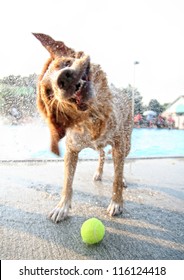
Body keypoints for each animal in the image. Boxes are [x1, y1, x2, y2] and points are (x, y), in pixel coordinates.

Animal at [33, 32, 132, 222]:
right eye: (49, 92)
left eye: (66, 63)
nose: (63, 78)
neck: (93, 116)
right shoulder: (71, 150)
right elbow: (67, 182)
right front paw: (62, 207)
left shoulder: (118, 143)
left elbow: (116, 178)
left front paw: (116, 203)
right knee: (102, 154)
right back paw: (99, 173)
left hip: (127, 142)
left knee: (120, 162)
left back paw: (122, 176)